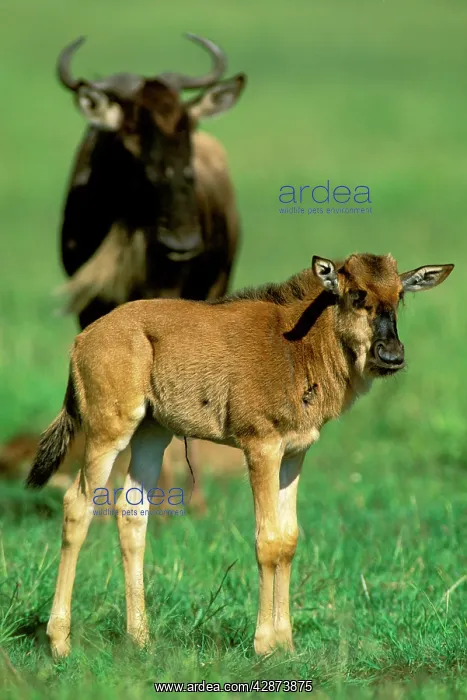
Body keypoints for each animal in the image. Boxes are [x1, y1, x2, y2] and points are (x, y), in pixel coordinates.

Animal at [26, 252, 454, 658]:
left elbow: (288, 540)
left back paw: (141, 640)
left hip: (151, 434)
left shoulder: (294, 454)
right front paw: (264, 644)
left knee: (132, 513)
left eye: (399, 295)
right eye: (355, 294)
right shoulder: (261, 446)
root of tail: (84, 339)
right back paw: (59, 642)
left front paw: (288, 644)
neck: (298, 346)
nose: (391, 355)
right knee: (77, 505)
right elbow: (267, 541)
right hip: (108, 430)